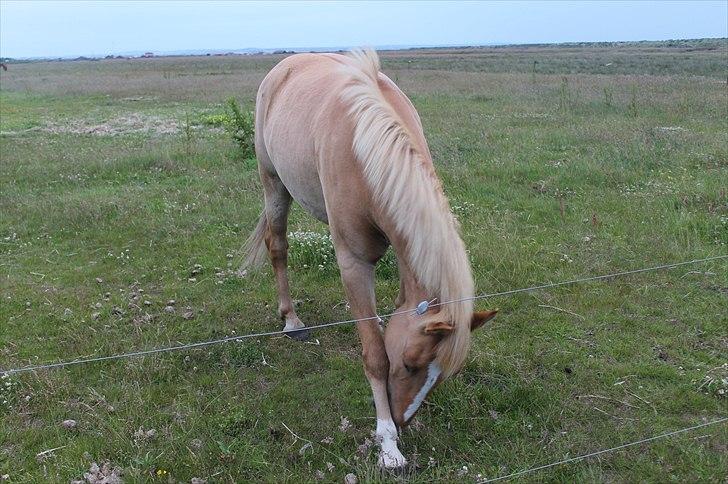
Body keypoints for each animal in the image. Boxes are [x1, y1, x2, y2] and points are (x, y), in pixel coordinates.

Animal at [242, 50, 498, 468]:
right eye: (409, 363)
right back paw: (291, 320)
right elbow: (375, 355)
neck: (366, 147)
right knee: (277, 247)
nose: (402, 420)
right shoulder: (354, 262)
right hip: (274, 183)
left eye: (441, 375)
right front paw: (388, 442)